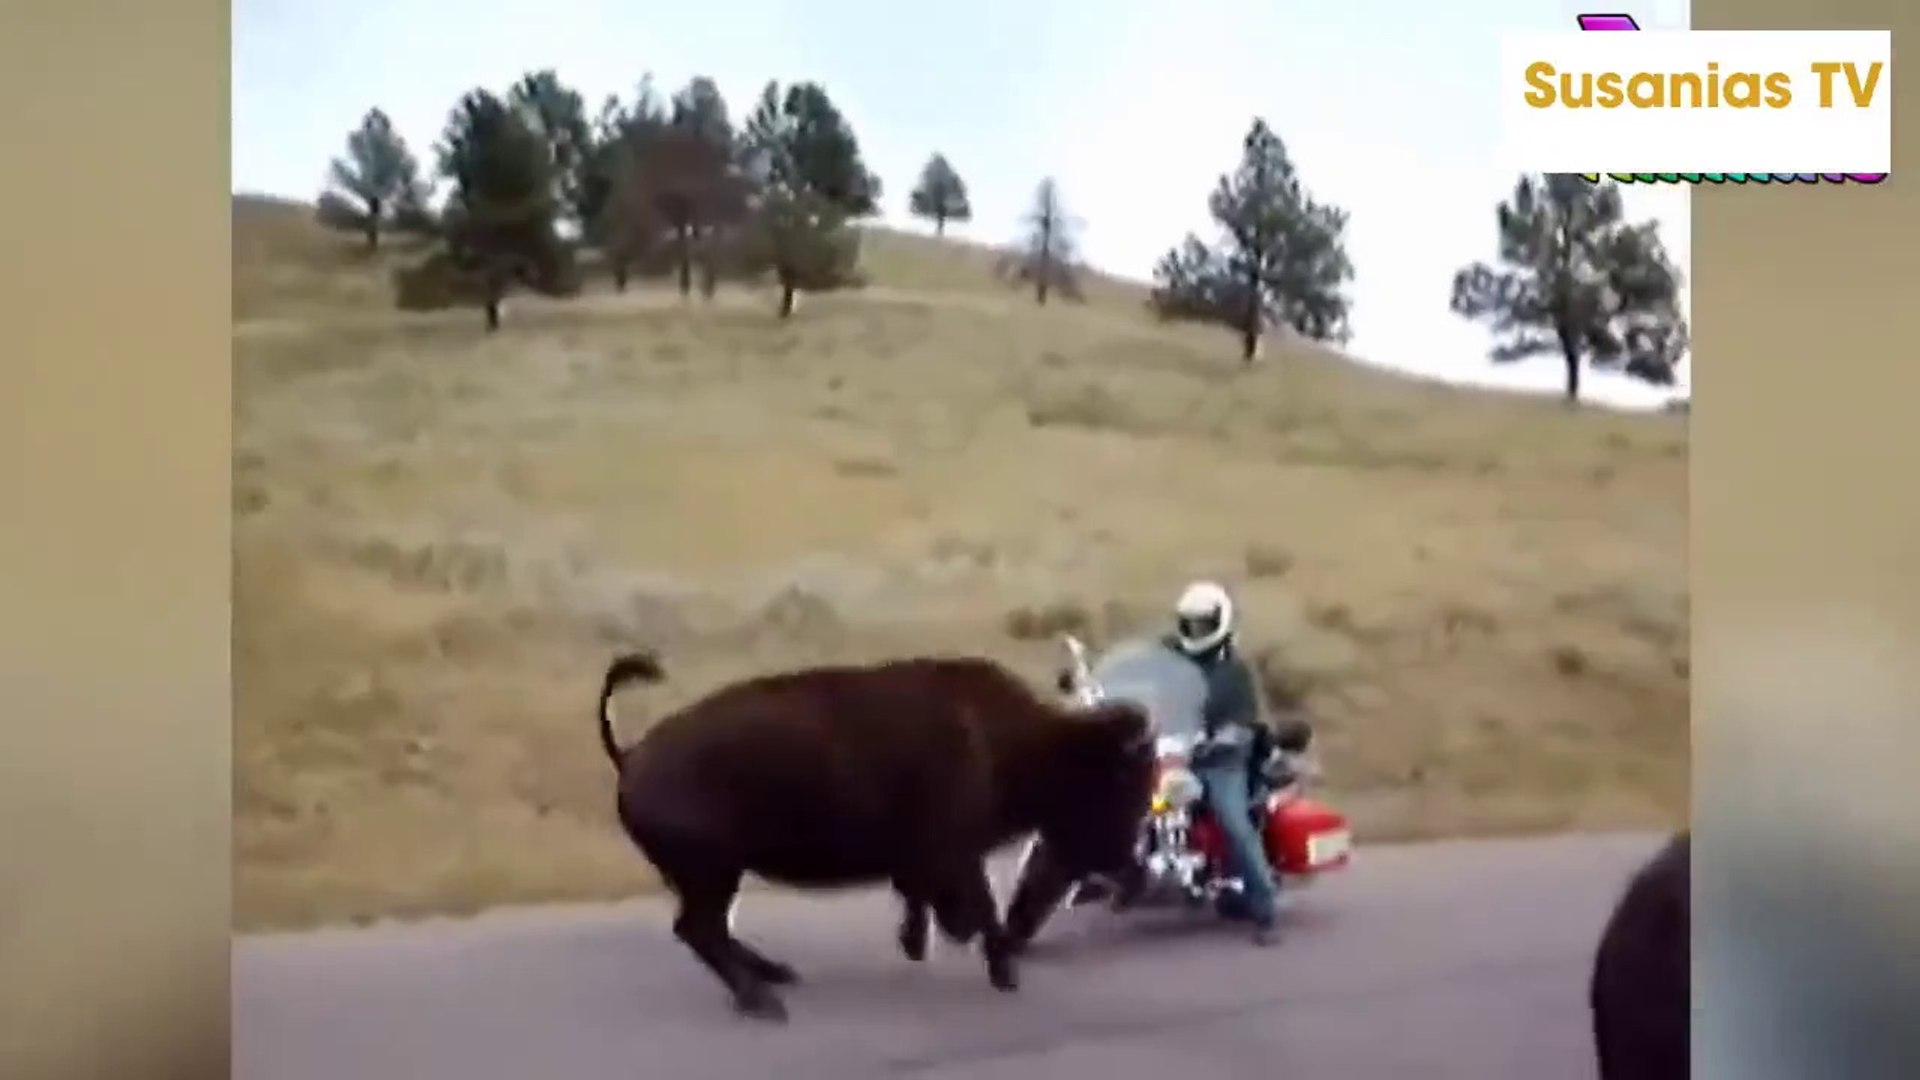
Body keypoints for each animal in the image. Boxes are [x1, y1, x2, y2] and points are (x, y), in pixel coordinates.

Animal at [591, 645, 1152, 1014]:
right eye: (1121, 783)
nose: (1128, 859)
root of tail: (632, 755)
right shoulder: (957, 852)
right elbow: (982, 911)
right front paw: (1005, 973)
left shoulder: (934, 860)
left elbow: (928, 899)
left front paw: (918, 942)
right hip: (713, 873)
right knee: (700, 929)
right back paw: (763, 999)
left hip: (716, 876)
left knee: (712, 929)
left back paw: (776, 976)